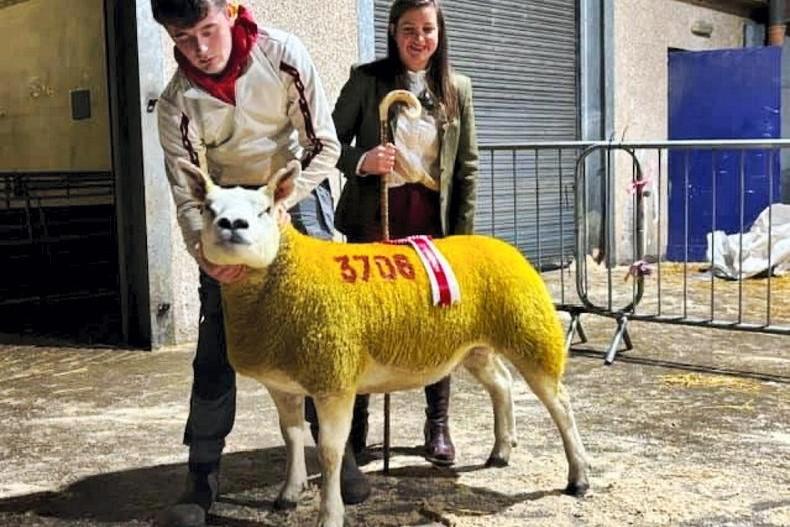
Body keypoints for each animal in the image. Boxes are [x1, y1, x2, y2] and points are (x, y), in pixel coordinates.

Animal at [177, 159, 590, 527]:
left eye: (264, 210)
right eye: (208, 209)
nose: (232, 225)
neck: (285, 276)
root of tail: (505, 247)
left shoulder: (334, 380)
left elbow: (329, 452)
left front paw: (330, 515)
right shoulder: (282, 383)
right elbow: (292, 437)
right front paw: (289, 494)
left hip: (531, 332)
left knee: (562, 403)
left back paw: (579, 477)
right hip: (474, 346)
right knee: (501, 384)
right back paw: (501, 451)